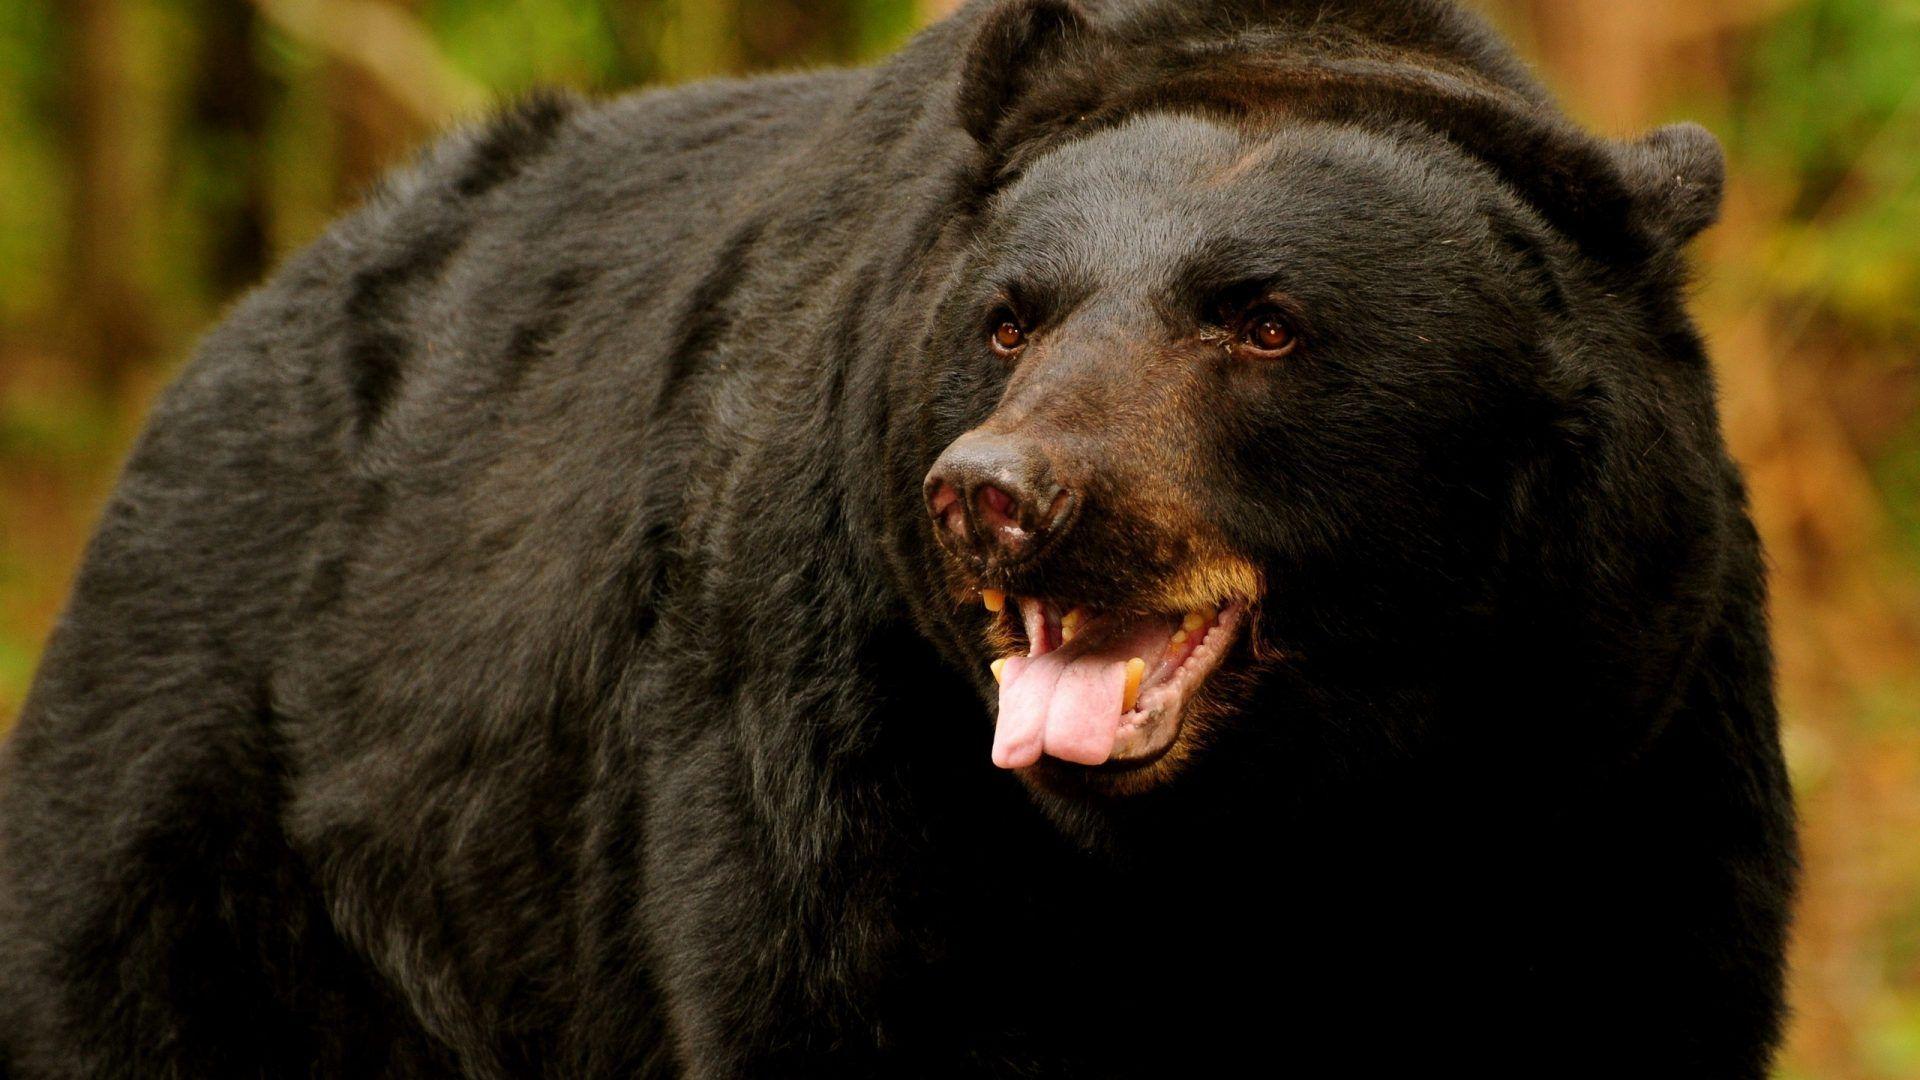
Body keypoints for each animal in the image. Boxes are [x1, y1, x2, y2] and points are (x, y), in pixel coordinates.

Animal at [0, 0, 1797, 1076]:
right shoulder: (859, 764)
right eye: (1010, 316)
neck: (1268, 836)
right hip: (216, 815)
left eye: (1263, 319)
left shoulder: (1606, 757)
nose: (997, 493)